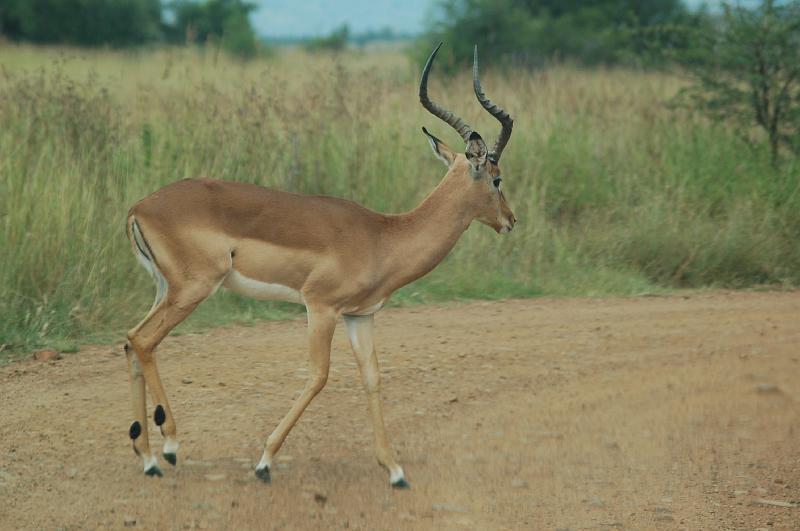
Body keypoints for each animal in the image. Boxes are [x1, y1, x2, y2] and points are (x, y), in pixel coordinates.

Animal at [124, 42, 515, 488]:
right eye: (497, 178)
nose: (510, 220)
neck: (383, 236)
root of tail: (139, 208)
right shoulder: (321, 307)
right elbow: (318, 375)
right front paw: (264, 462)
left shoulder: (360, 316)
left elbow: (372, 377)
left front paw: (395, 470)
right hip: (192, 289)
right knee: (144, 341)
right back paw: (170, 446)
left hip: (165, 289)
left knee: (131, 340)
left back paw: (148, 457)